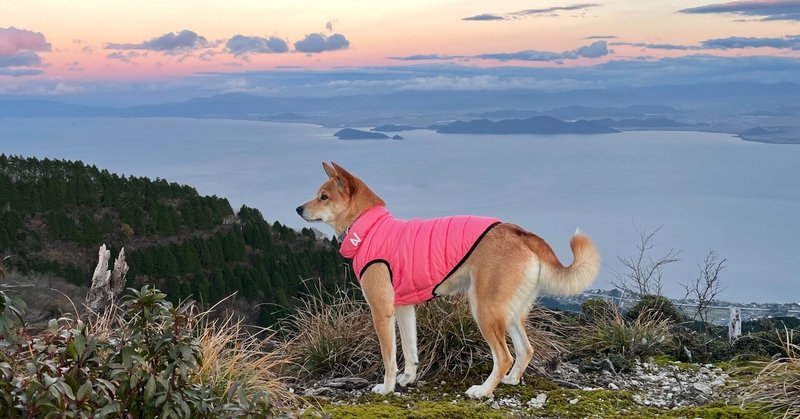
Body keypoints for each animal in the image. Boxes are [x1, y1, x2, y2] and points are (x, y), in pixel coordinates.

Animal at [296, 162, 596, 398]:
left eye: (323, 196)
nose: (298, 208)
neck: (369, 228)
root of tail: (519, 232)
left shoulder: (381, 310)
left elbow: (389, 356)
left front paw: (387, 387)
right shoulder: (404, 308)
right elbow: (410, 350)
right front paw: (408, 379)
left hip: (485, 309)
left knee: (504, 356)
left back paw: (483, 391)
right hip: (510, 312)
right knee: (526, 349)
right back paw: (511, 380)